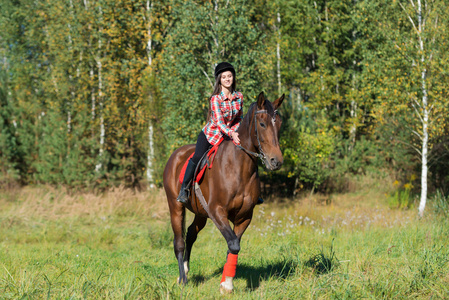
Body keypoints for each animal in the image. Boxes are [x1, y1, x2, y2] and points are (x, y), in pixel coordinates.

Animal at [164, 92, 284, 292]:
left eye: (280, 123)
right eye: (262, 124)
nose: (276, 161)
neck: (238, 167)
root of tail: (175, 155)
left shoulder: (244, 216)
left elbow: (233, 245)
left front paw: (226, 282)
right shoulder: (217, 211)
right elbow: (233, 244)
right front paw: (227, 285)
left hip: (200, 213)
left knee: (190, 234)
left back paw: (187, 270)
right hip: (175, 207)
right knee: (179, 243)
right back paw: (183, 279)